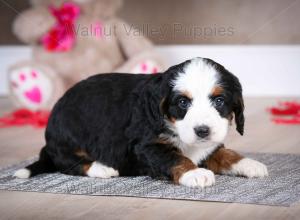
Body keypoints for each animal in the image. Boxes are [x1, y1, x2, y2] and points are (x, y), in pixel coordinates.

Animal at [14, 57, 268, 187]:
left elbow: (224, 153)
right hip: (68, 135)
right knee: (67, 161)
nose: (202, 131)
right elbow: (174, 157)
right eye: (182, 103)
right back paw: (102, 168)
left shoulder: (208, 145)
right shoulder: (146, 146)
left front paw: (249, 163)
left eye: (219, 100)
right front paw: (194, 173)